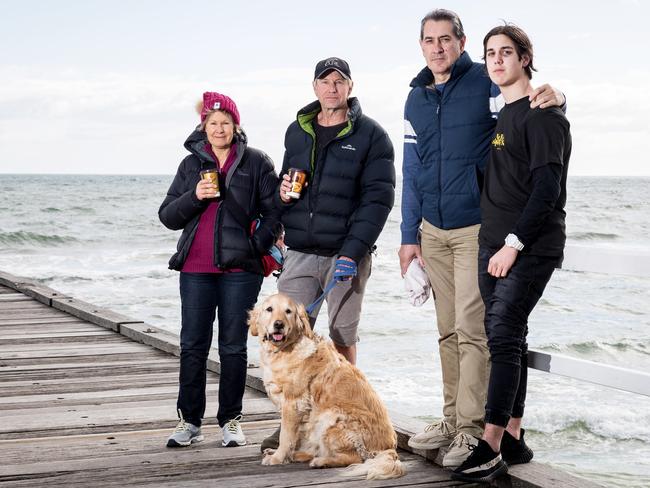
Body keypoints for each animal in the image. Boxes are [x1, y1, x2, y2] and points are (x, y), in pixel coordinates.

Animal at [248, 292, 404, 478]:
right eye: (269, 309)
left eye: (288, 311)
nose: (278, 324)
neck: (286, 348)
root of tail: (389, 449)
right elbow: (296, 436)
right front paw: (284, 454)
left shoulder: (293, 402)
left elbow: (285, 436)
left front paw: (278, 458)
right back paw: (301, 455)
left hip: (330, 418)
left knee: (354, 458)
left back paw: (321, 461)